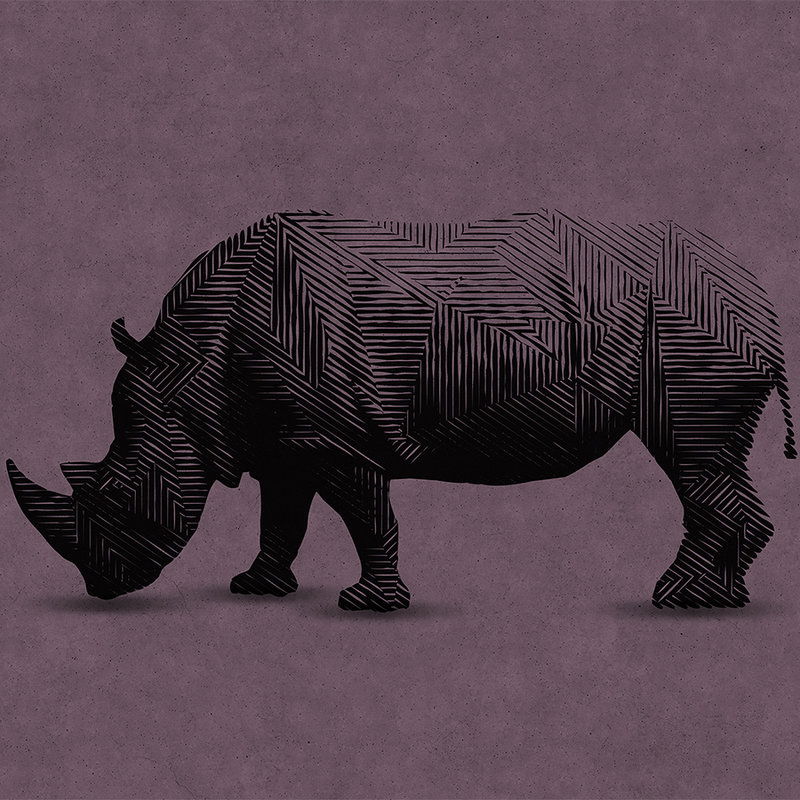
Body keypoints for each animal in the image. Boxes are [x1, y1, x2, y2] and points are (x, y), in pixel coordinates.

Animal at [8, 210, 796, 611]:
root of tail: (756, 285)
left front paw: (367, 603)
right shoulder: (283, 437)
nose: (100, 588)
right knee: (715, 458)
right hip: (698, 321)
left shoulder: (334, 437)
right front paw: (256, 588)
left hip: (689, 328)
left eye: (118, 495)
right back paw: (724, 598)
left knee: (691, 452)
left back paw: (677, 598)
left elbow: (367, 514)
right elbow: (281, 514)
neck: (188, 369)